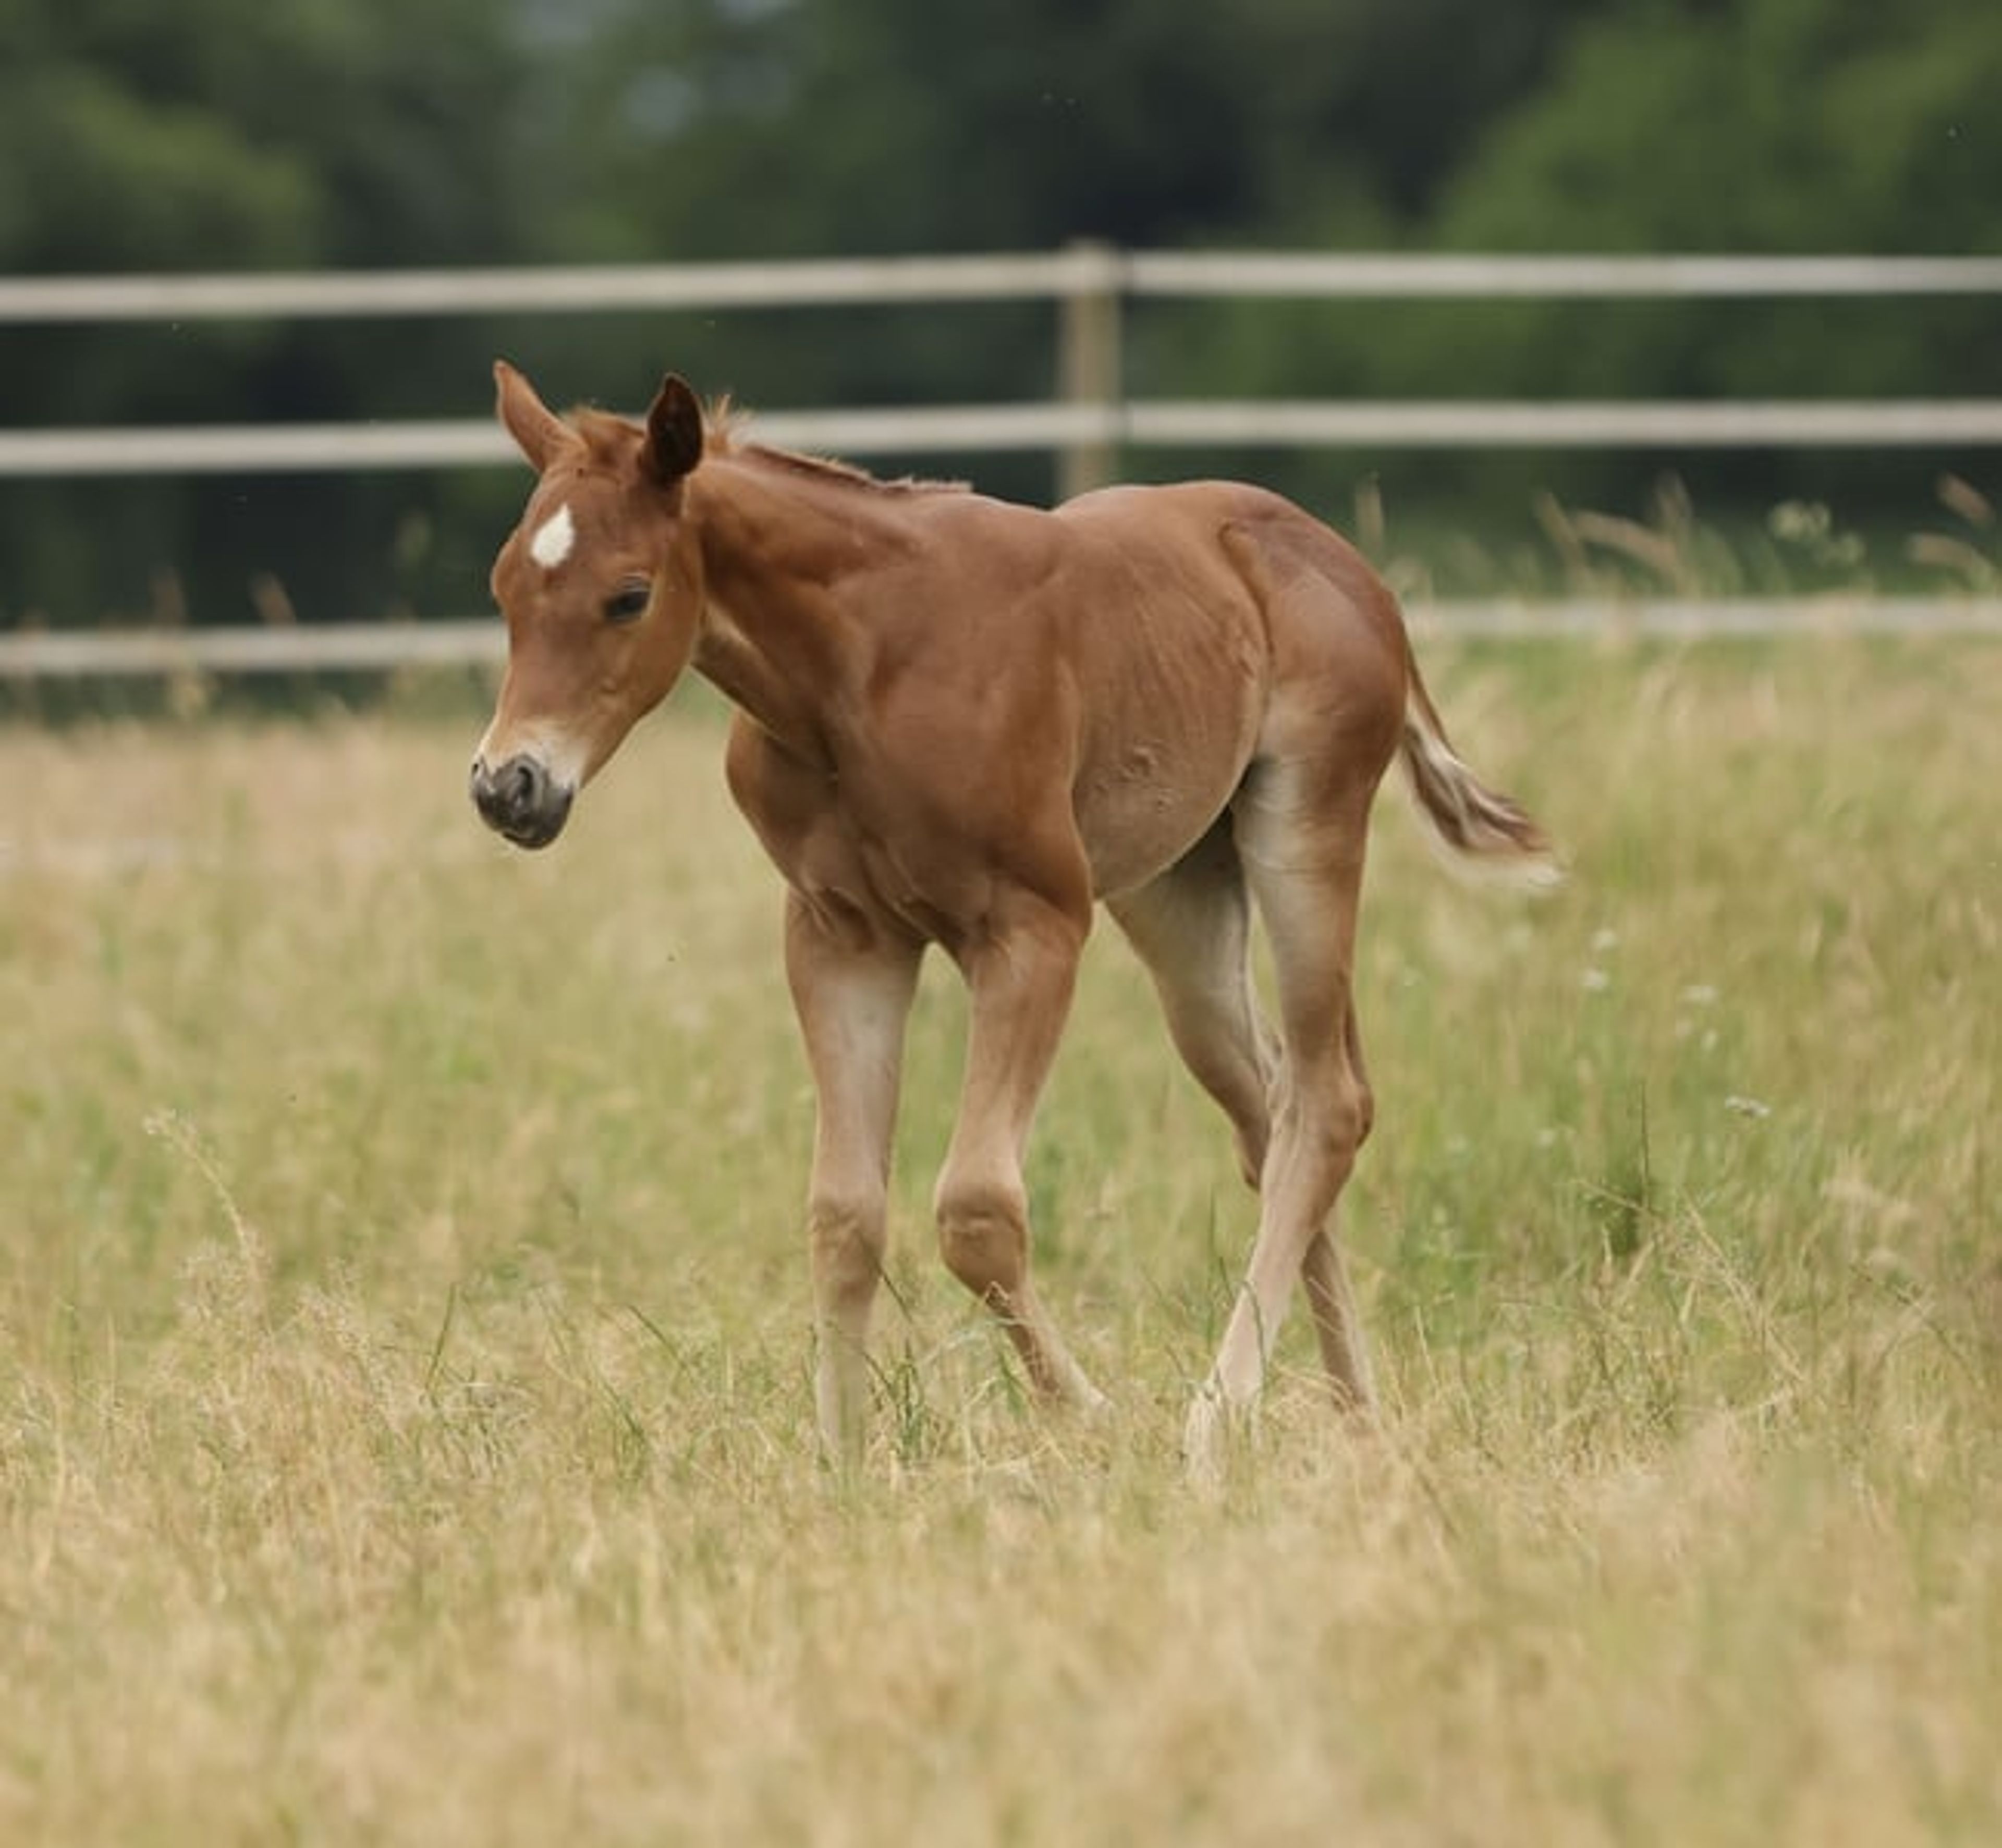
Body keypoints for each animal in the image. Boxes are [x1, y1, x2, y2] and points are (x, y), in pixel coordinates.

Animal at [470, 361, 1553, 1474]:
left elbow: (977, 1210)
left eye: (628, 595)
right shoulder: (841, 936)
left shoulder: (1034, 928)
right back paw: (1354, 1418)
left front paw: (1097, 1418)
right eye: (505, 590)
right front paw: (840, 1465)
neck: (859, 672)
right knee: (1273, 1114)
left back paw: (1218, 1421)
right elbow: (844, 1214)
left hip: (1306, 830)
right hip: (1179, 893)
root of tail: (1349, 568)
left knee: (1329, 1102)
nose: (509, 786)